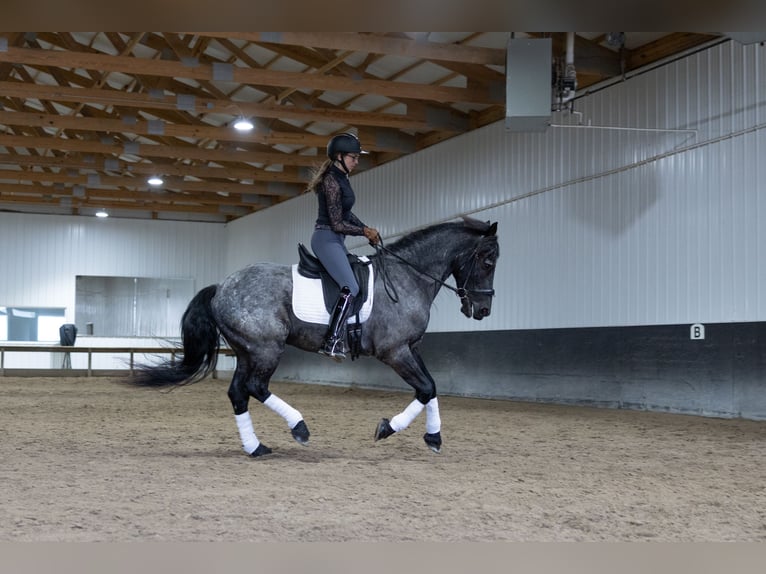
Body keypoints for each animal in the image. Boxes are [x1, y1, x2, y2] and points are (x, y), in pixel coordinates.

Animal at [129, 216, 499, 457]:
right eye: (488, 259)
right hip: (266, 349)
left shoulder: (411, 348)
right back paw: (299, 428)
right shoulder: (394, 351)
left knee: (238, 393)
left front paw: (433, 438)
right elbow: (424, 388)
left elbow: (431, 387)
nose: (483, 310)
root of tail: (221, 287)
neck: (407, 276)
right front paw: (387, 429)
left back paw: (256, 448)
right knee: (255, 387)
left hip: (247, 351)